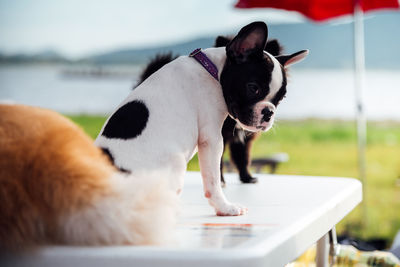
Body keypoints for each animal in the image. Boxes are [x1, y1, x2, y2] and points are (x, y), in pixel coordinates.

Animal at [95, 22, 308, 217]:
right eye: (253, 88)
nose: (269, 112)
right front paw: (225, 207)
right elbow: (213, 179)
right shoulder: (212, 139)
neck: (212, 71)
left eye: (281, 98)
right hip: (175, 163)